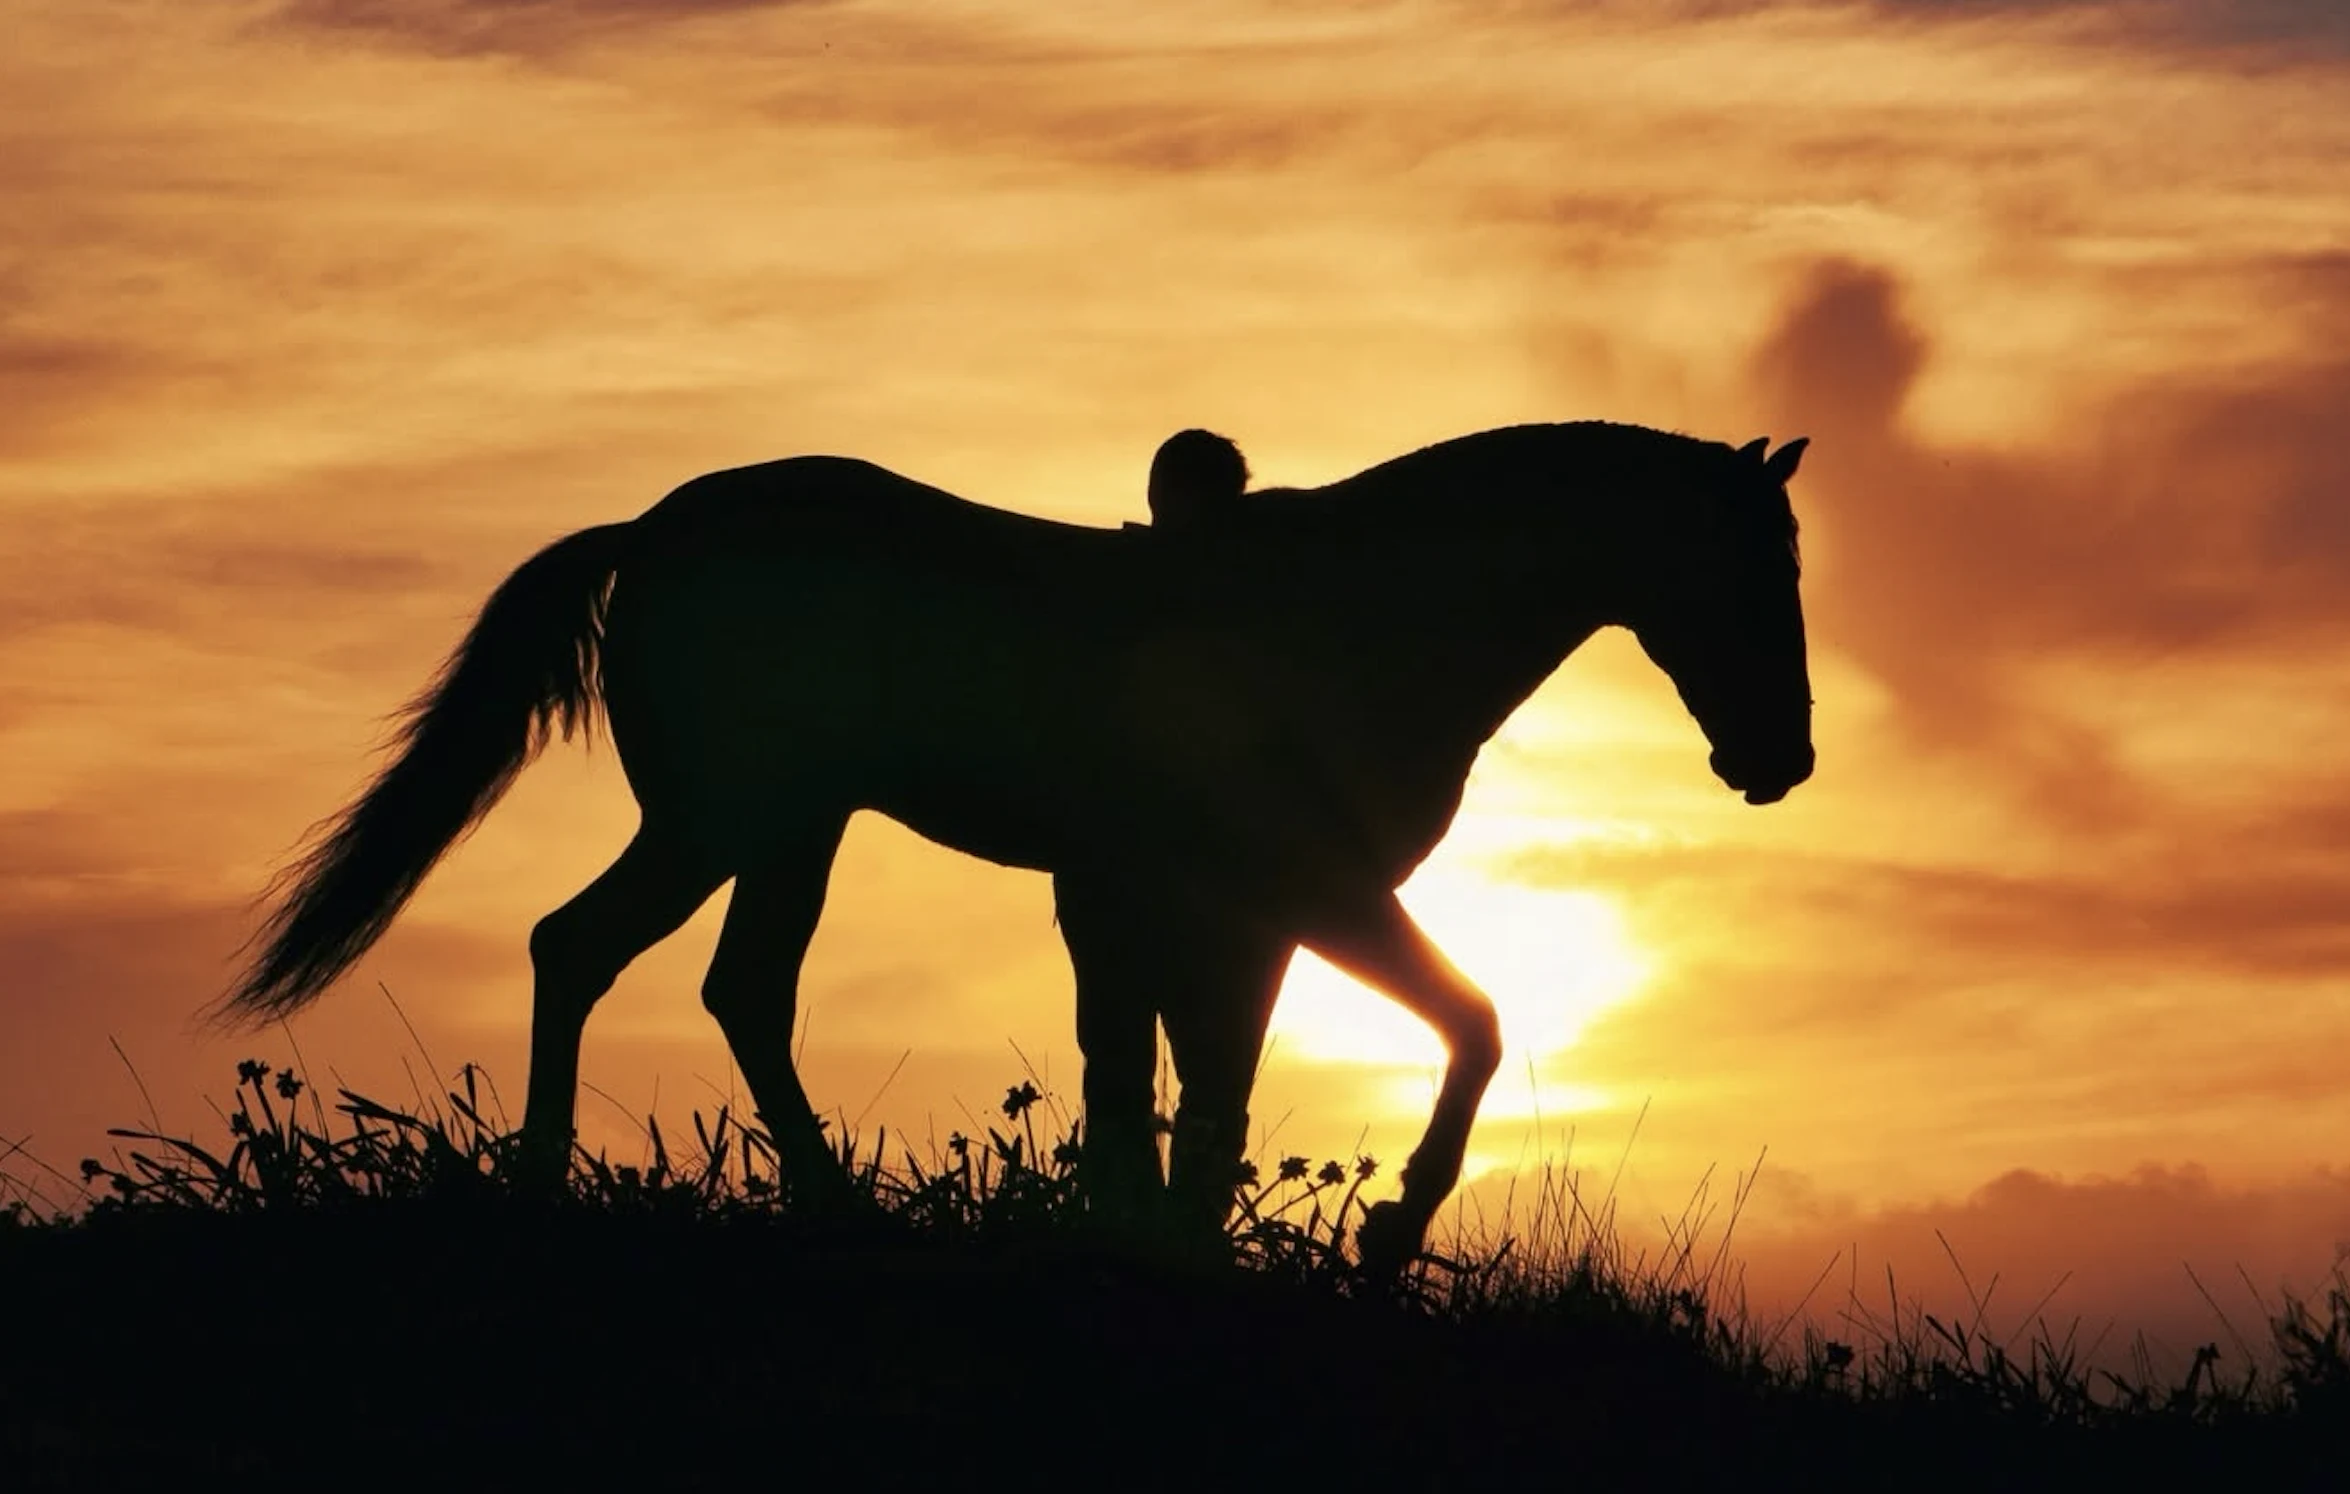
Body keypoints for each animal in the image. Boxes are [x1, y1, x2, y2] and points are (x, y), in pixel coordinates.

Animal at [220, 420, 1815, 1274]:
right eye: (1755, 568)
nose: (1780, 762)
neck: (1356, 618)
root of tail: (651, 528)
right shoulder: (1303, 893)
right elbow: (1460, 1028)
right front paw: (1384, 1232)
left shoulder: (1230, 916)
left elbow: (1201, 1082)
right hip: (725, 818)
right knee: (586, 948)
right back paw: (553, 1183)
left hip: (789, 828)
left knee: (735, 989)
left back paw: (819, 1202)